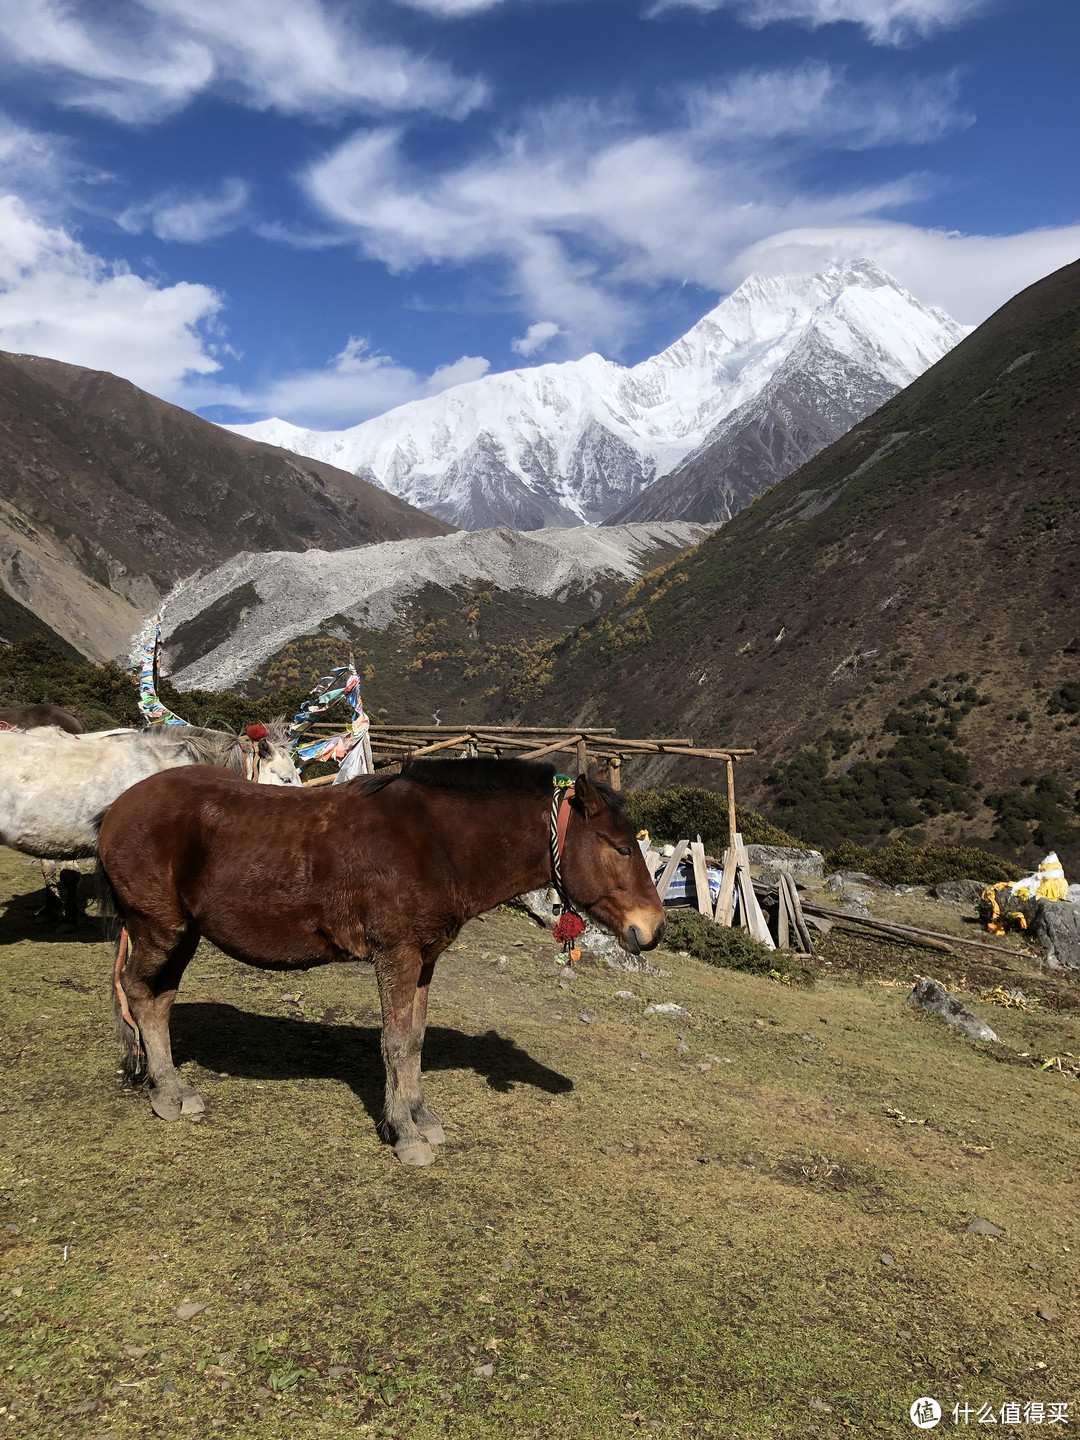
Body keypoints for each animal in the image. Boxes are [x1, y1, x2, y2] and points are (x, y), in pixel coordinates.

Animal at [97, 760, 668, 1163]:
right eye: (620, 849)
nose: (654, 929)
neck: (437, 842)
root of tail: (115, 808)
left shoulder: (425, 958)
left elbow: (413, 1039)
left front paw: (420, 1116)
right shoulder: (396, 954)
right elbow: (394, 1042)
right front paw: (404, 1134)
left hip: (182, 935)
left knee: (159, 999)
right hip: (158, 928)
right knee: (139, 993)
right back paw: (166, 1093)